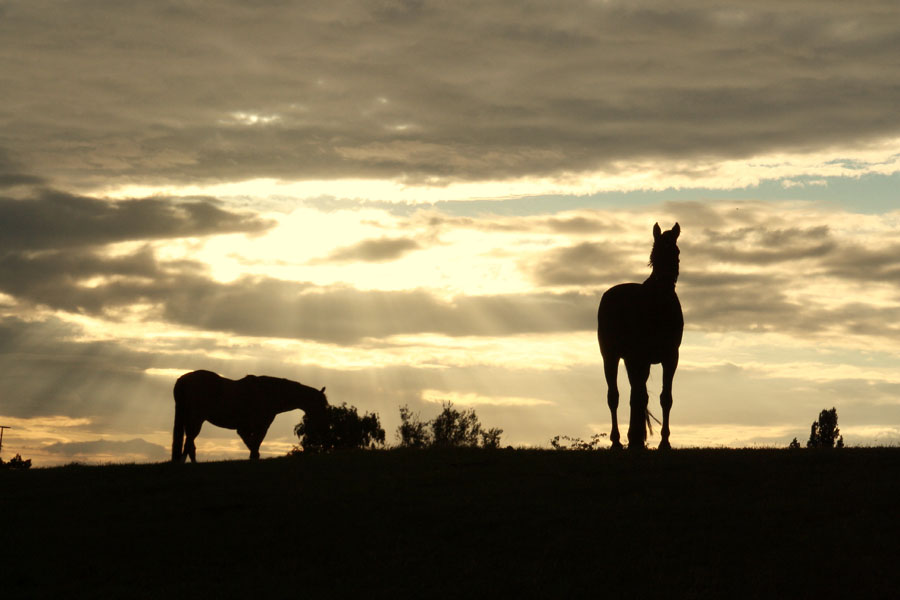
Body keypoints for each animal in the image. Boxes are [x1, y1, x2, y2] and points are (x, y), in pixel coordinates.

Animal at [171, 370, 328, 464]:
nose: (323, 426)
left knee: (190, 444)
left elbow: (252, 444)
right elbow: (255, 444)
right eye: (321, 405)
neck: (268, 393)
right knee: (189, 443)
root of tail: (182, 380)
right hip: (196, 420)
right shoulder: (260, 427)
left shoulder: (244, 428)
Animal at [596, 223, 684, 448]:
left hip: (631, 360)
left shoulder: (670, 357)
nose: (666, 281)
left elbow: (665, 398)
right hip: (611, 356)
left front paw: (664, 442)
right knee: (614, 396)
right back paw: (618, 441)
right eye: (655, 253)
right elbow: (640, 396)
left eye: (676, 251)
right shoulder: (641, 356)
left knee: (635, 392)